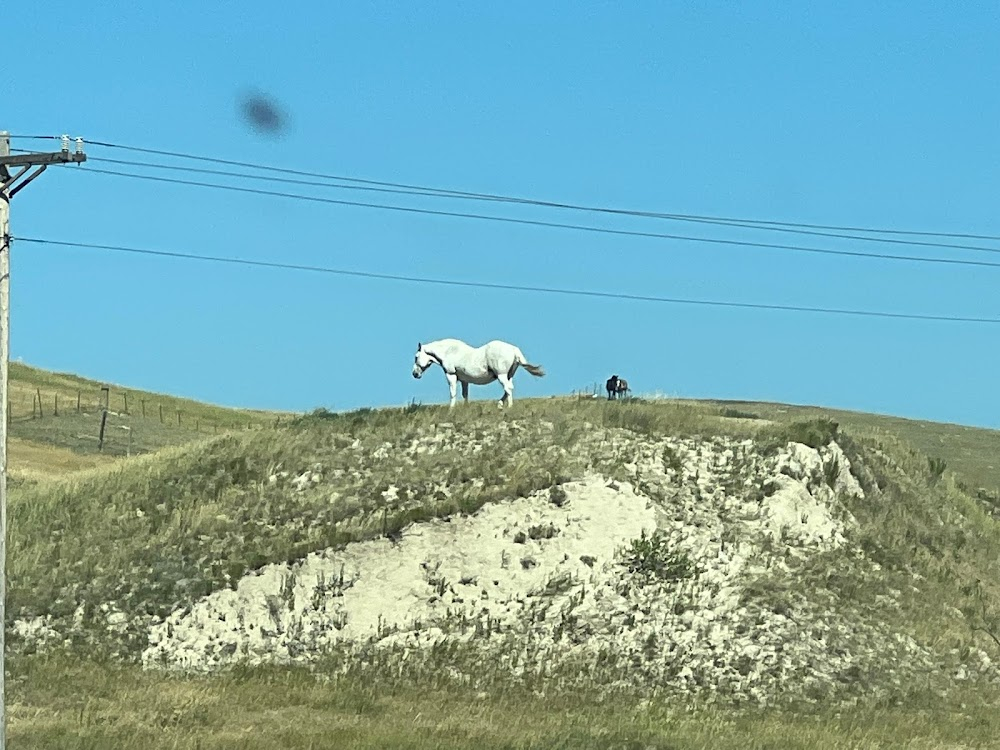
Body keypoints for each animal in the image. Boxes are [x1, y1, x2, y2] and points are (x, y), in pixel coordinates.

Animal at [410, 340, 544, 412]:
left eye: (416, 357)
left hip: (501, 375)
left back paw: (509, 407)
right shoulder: (464, 380)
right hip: (508, 375)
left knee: (508, 388)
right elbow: (465, 394)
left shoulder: (451, 375)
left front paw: (451, 409)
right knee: (508, 389)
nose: (415, 374)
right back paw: (500, 404)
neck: (449, 351)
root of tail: (514, 349)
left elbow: (453, 393)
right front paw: (465, 408)